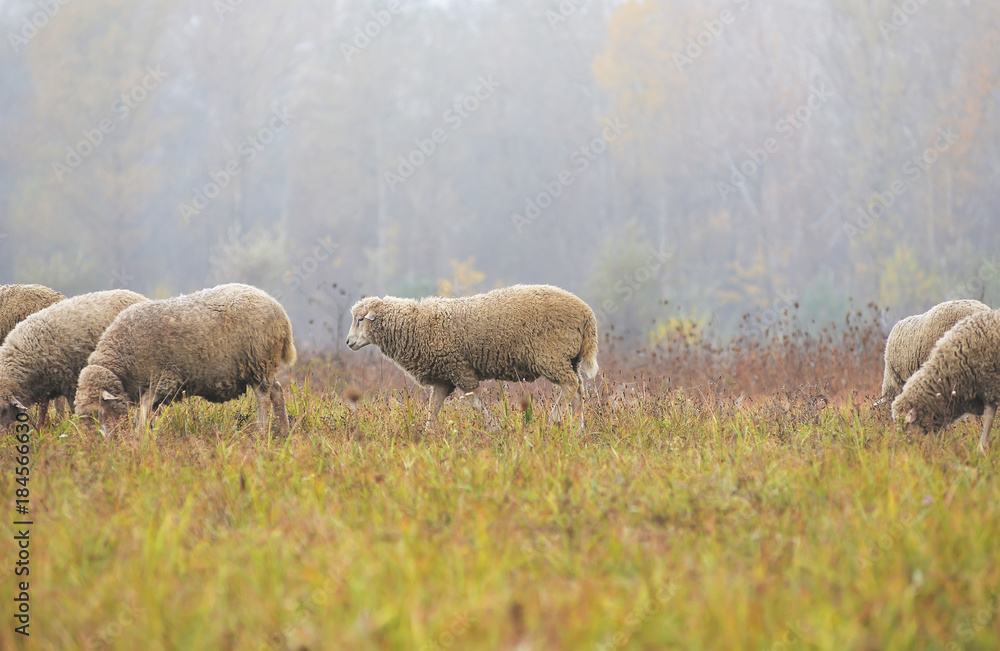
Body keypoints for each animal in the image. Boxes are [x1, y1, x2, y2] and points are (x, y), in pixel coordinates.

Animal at [0, 289, 148, 429]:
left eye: (4, 410)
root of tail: (140, 297)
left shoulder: (71, 383)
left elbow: (71, 409)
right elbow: (43, 411)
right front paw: (39, 429)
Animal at [74, 283, 296, 436]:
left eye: (99, 413)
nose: (102, 444)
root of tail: (280, 312)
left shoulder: (163, 380)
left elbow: (143, 410)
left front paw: (139, 435)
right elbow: (148, 412)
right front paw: (147, 434)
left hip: (259, 361)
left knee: (263, 398)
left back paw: (262, 430)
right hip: (261, 366)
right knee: (276, 392)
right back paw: (283, 430)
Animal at [345, 284, 599, 430]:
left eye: (361, 319)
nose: (348, 343)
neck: (416, 324)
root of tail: (587, 315)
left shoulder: (460, 370)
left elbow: (475, 403)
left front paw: (494, 428)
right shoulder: (443, 377)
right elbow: (433, 408)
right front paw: (428, 435)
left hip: (551, 356)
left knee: (570, 385)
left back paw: (552, 420)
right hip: (569, 359)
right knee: (579, 390)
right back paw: (578, 429)